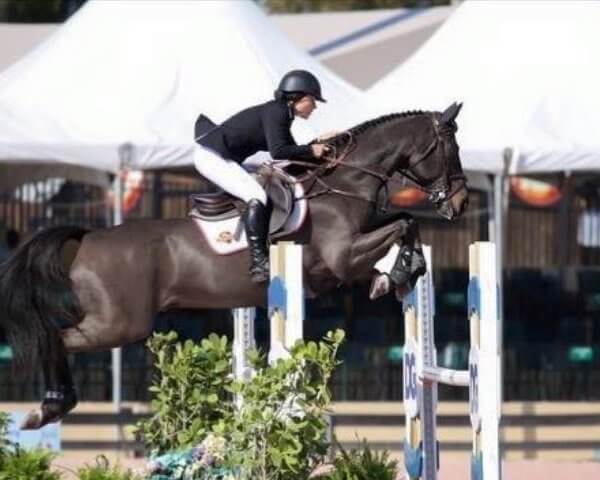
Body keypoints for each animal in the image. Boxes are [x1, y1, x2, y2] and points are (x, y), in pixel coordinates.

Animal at [0, 103, 468, 430]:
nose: (461, 203)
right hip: (119, 323)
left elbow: (402, 227)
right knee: (55, 337)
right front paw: (403, 270)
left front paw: (398, 274)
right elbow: (404, 223)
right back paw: (49, 406)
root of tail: (87, 238)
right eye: (451, 149)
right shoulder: (343, 256)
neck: (343, 185)